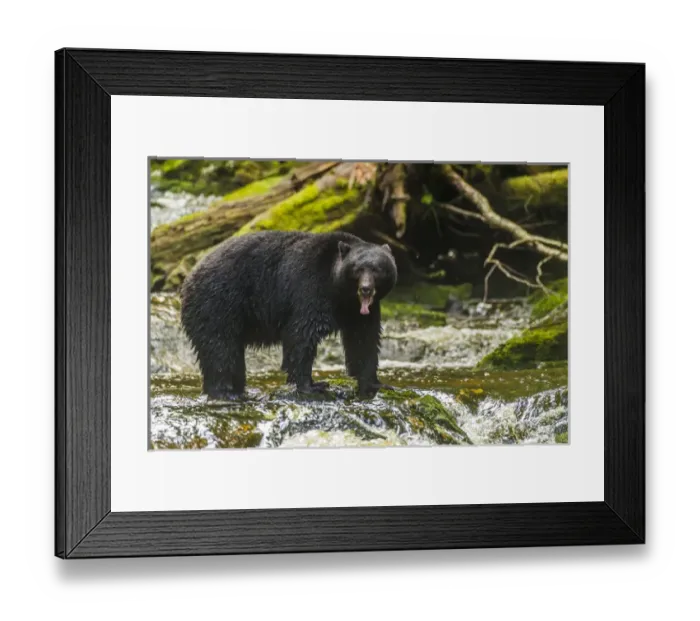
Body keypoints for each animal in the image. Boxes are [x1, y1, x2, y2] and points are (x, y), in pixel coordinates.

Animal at [180, 230, 398, 399]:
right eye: (358, 268)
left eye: (377, 269)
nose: (366, 289)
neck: (340, 293)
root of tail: (188, 280)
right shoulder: (310, 287)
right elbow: (302, 334)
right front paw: (311, 386)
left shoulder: (360, 312)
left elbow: (364, 340)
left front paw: (375, 384)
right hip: (218, 304)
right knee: (219, 348)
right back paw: (224, 392)